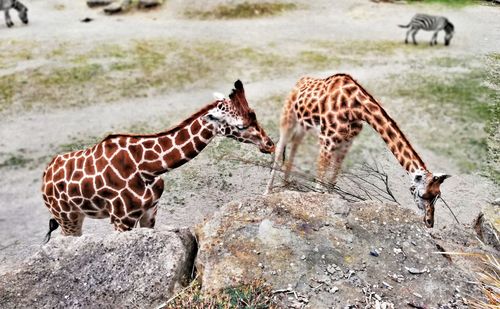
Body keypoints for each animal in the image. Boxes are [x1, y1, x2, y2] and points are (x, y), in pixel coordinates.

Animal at [42, 80, 278, 241]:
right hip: (67, 217)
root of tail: (45, 175)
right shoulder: (121, 219)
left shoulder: (150, 211)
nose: (270, 144)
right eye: (241, 126)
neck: (148, 168)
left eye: (254, 114)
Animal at [268, 73, 452, 227]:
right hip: (288, 117)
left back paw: (285, 182)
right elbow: (320, 183)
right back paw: (267, 192)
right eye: (423, 195)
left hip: (303, 126)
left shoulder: (346, 143)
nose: (429, 222)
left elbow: (332, 181)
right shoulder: (327, 141)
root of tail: (300, 81)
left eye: (438, 195)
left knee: (294, 145)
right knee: (279, 148)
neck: (354, 108)